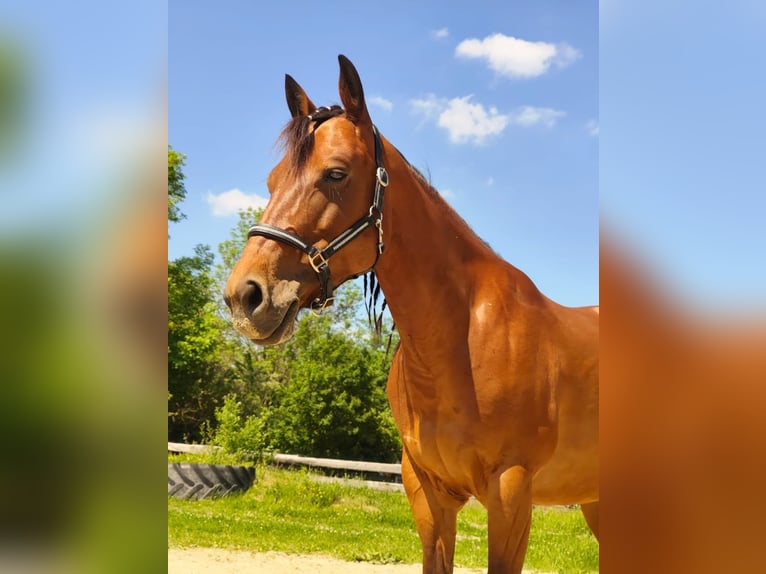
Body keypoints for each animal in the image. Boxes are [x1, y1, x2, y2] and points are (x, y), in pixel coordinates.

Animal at [224, 55, 599, 574]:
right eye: (272, 180)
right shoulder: (428, 493)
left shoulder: (511, 492)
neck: (461, 342)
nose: (245, 297)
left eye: (335, 174)